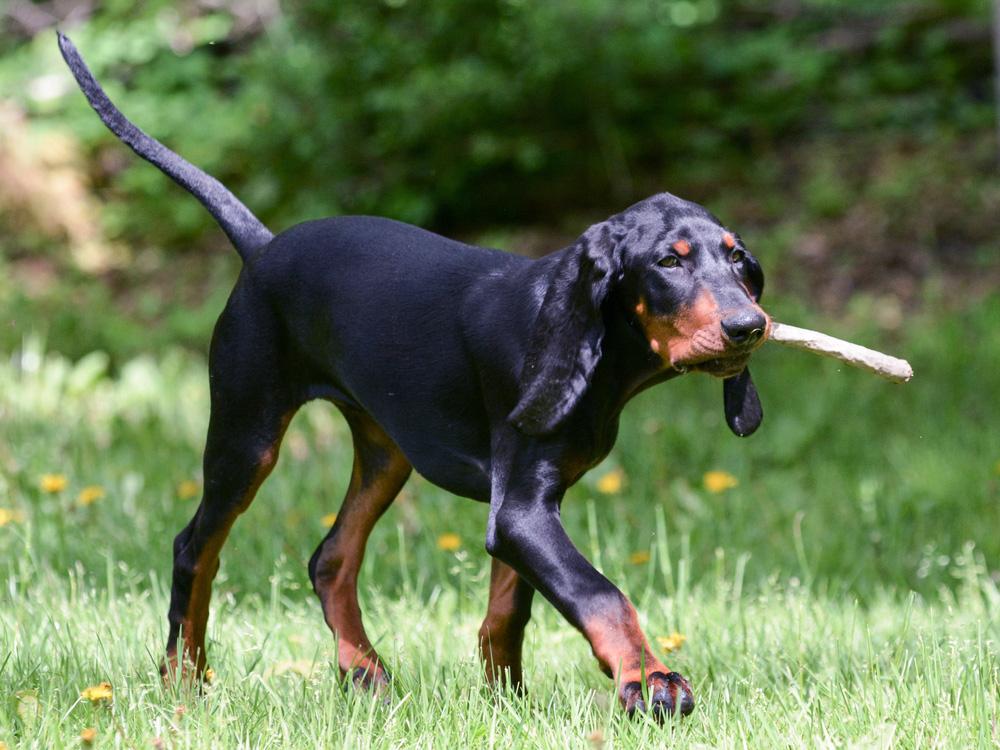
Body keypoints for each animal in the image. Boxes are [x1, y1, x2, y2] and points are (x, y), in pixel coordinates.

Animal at [58, 32, 768, 720]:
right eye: (669, 262)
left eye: (738, 260)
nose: (749, 326)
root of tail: (261, 248)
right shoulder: (522, 509)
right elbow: (599, 592)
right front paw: (650, 681)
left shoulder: (526, 505)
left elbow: (510, 608)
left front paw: (508, 704)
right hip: (246, 432)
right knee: (194, 547)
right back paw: (184, 680)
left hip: (385, 449)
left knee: (330, 559)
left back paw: (364, 672)